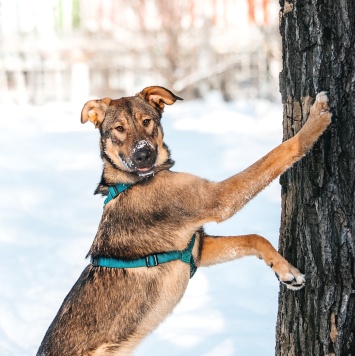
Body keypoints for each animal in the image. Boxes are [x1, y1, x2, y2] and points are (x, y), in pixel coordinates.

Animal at [37, 87, 332, 356]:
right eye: (119, 128)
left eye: (147, 121)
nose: (143, 154)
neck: (131, 181)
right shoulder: (218, 199)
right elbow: (282, 151)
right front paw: (316, 119)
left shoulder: (196, 248)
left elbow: (253, 239)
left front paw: (284, 271)